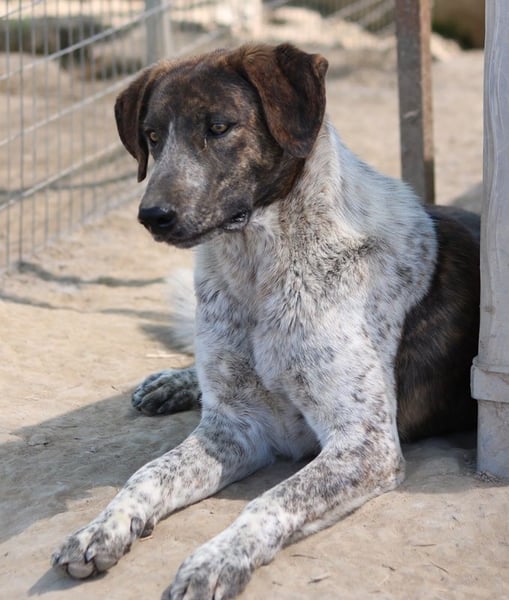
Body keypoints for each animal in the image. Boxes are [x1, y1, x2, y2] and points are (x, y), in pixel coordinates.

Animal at [52, 43, 480, 599]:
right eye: (152, 136)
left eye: (219, 126)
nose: (153, 216)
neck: (257, 270)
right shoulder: (233, 428)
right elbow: (148, 473)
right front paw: (102, 526)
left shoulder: (364, 443)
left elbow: (272, 499)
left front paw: (215, 559)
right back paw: (175, 382)